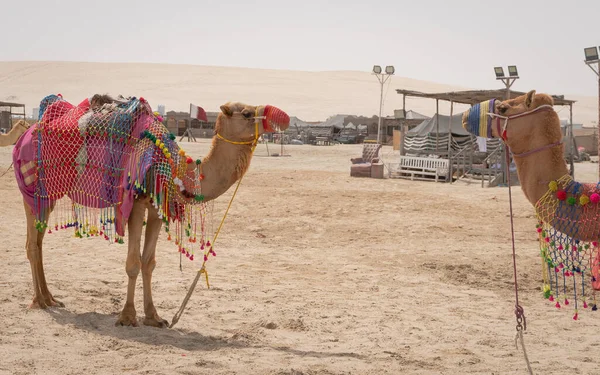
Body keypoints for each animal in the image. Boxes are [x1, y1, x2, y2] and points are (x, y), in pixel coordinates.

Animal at [9, 95, 290, 328]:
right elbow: (133, 263)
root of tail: (25, 134)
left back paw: (50, 298)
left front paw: (154, 316)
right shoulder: (135, 203)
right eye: (247, 113)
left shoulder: (158, 207)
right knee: (32, 245)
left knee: (38, 242)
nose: (282, 117)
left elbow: (149, 263)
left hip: (48, 195)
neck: (174, 168)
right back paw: (39, 301)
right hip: (32, 189)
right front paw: (127, 316)